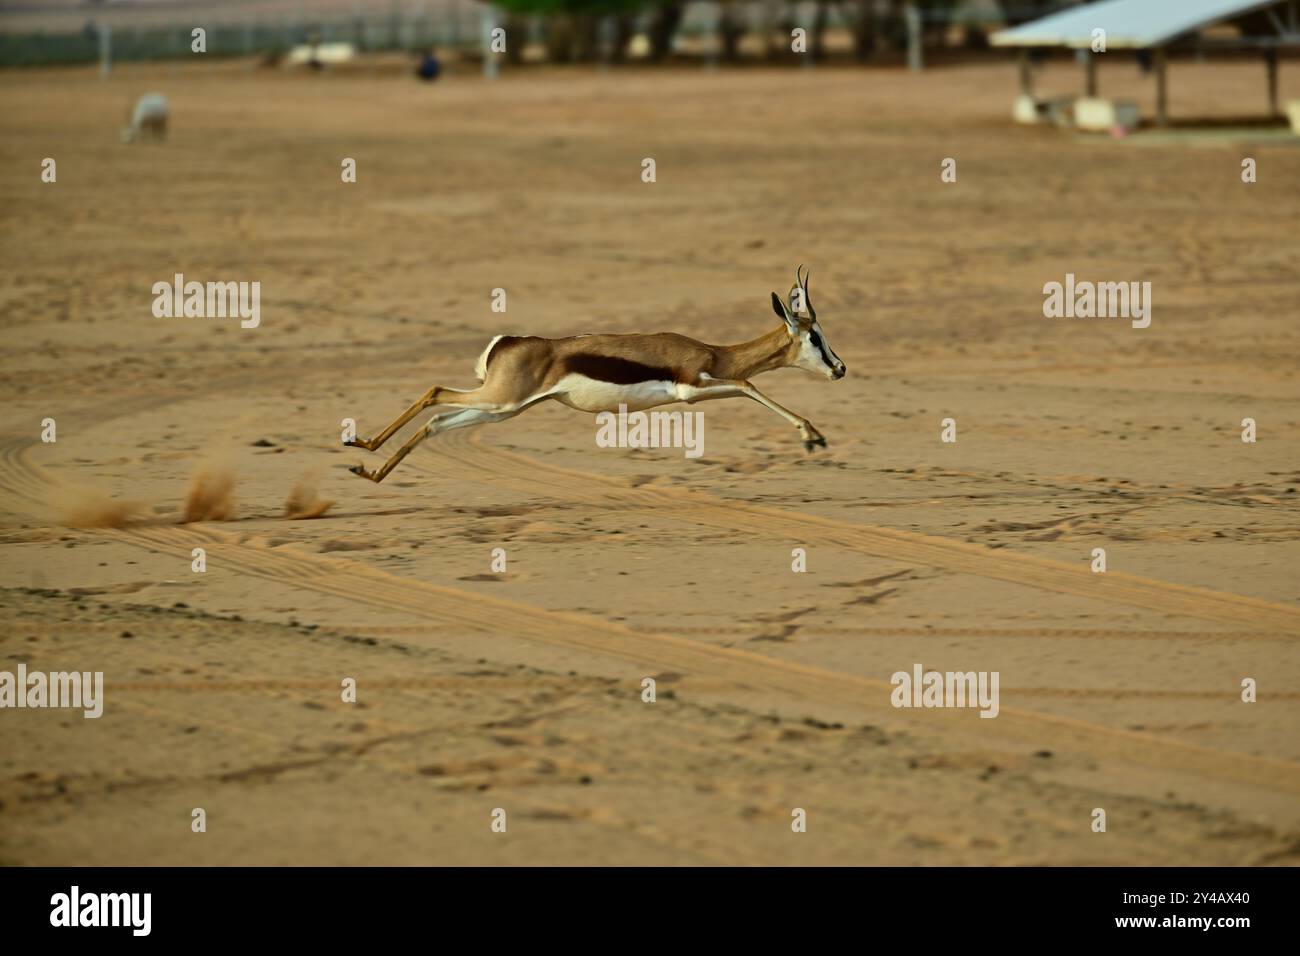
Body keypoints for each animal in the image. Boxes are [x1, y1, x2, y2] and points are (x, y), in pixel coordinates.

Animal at [347, 267, 845, 483]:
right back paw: (363, 449)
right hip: (499, 400)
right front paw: (813, 436)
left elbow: (748, 385)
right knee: (434, 393)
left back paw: (367, 467)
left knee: (437, 420)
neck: (713, 352)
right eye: (815, 337)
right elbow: (748, 383)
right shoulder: (692, 389)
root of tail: (506, 342)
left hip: (500, 409)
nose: (840, 368)